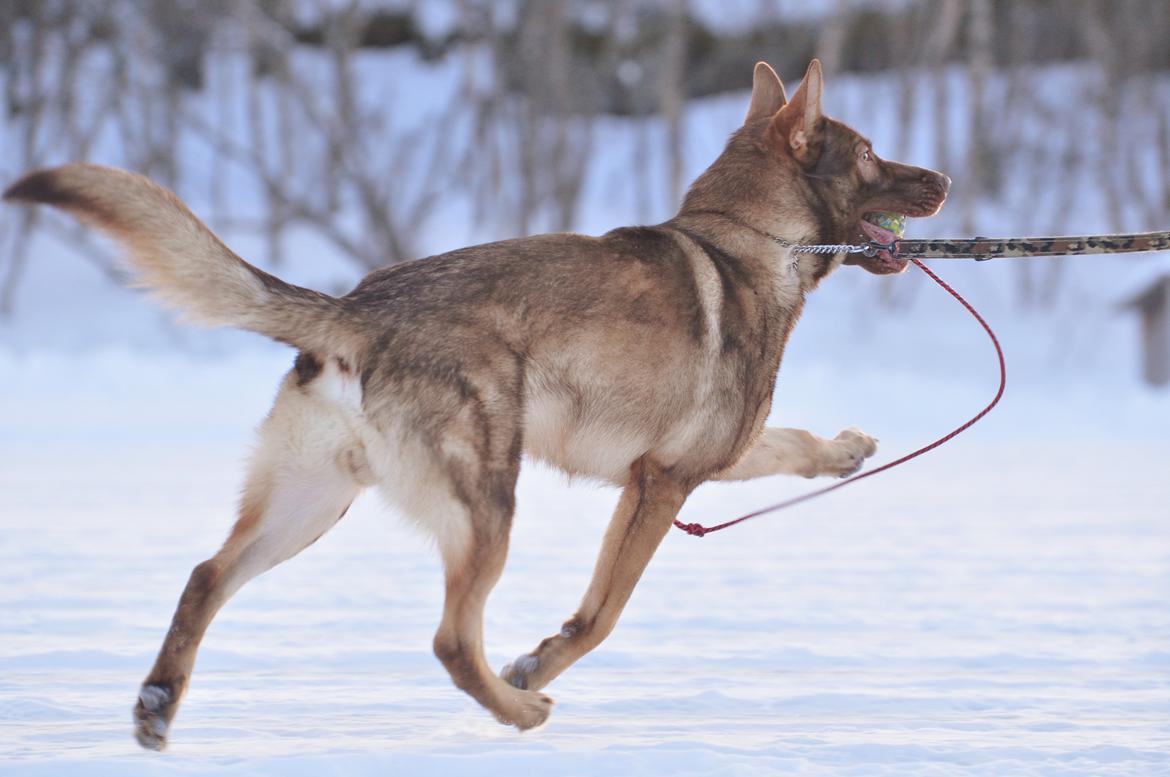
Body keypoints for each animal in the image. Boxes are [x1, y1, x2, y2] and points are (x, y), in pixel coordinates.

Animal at [2, 57, 950, 748]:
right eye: (870, 151)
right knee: (453, 640)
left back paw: (159, 702)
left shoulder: (705, 458)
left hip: (312, 507)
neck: (751, 239)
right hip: (487, 503)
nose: (942, 177)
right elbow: (600, 616)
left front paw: (847, 450)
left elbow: (791, 442)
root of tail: (352, 310)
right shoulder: (659, 483)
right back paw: (518, 708)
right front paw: (537, 666)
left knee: (204, 575)